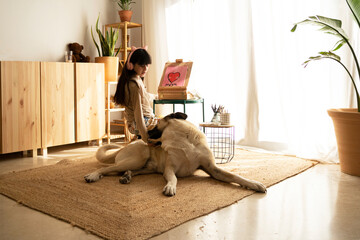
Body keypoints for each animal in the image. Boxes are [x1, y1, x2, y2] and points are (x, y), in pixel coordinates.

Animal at [83, 112, 266, 195]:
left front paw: (254, 184)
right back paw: (93, 175)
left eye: (154, 126)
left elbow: (236, 176)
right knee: (107, 168)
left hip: (145, 166)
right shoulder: (170, 169)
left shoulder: (213, 169)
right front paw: (170, 187)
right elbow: (174, 178)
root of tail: (123, 148)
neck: (182, 140)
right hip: (138, 157)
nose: (142, 134)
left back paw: (126, 176)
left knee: (122, 170)